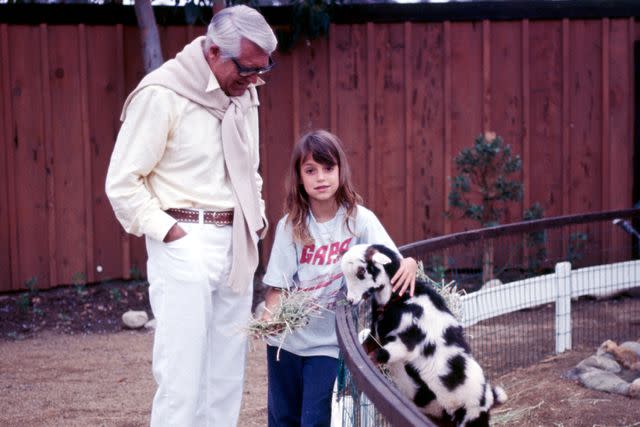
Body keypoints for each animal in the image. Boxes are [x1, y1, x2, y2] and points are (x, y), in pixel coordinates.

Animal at [340, 246, 504, 426]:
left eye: (361, 272)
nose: (350, 300)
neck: (401, 298)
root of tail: (488, 397)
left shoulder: (405, 346)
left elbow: (377, 356)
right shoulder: (376, 335)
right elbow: (365, 349)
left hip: (469, 416)